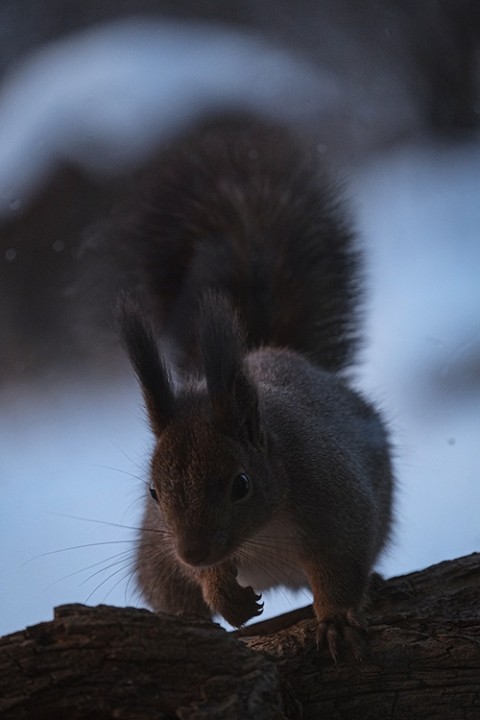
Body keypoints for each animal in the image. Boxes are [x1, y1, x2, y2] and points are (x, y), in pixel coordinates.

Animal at [118, 114, 392, 664]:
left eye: (240, 484)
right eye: (152, 492)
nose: (193, 551)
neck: (259, 536)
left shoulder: (341, 509)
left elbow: (340, 569)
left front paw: (336, 621)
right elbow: (206, 580)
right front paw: (223, 593)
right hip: (156, 558)